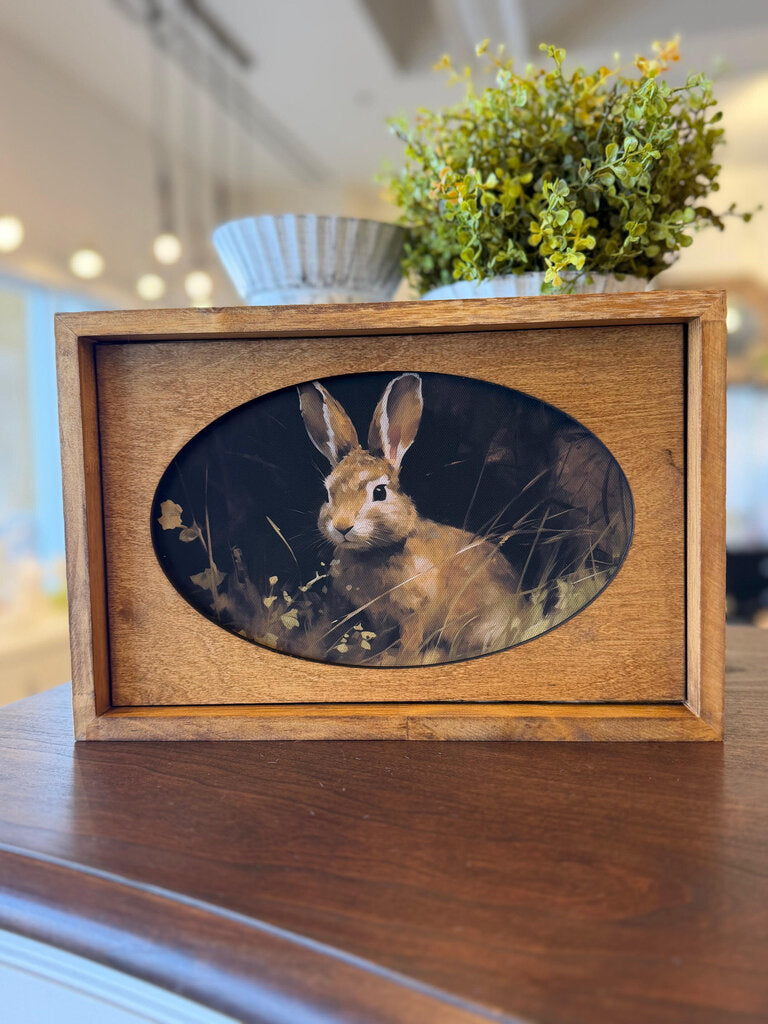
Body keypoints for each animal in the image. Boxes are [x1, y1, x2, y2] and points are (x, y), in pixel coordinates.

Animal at [298, 373, 524, 661]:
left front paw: (402, 659)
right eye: (328, 493)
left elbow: (410, 642)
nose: (342, 526)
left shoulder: (414, 612)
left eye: (380, 492)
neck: (375, 553)